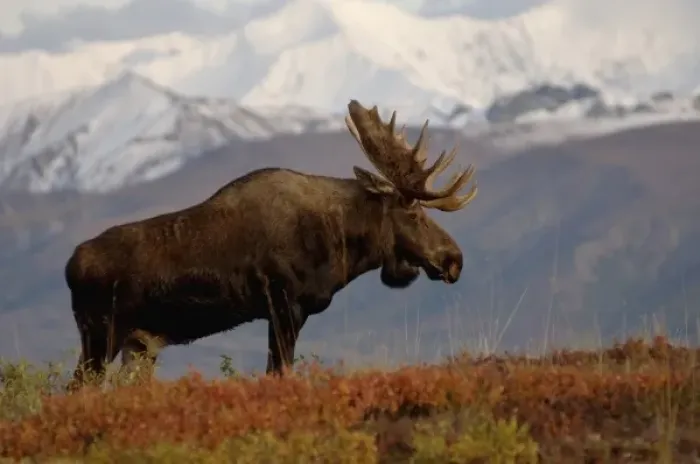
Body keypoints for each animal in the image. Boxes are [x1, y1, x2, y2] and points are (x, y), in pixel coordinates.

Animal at [64, 99, 478, 390]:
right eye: (413, 214)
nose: (454, 259)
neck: (340, 242)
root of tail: (70, 266)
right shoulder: (284, 306)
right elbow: (279, 372)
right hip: (101, 333)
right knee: (78, 388)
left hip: (139, 345)